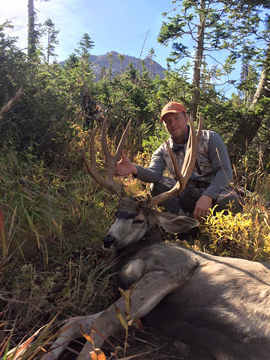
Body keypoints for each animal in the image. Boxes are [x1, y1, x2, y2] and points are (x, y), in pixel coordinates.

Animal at [41, 116, 270, 358]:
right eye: (115, 212)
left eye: (139, 220)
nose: (108, 240)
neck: (137, 252)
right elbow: (75, 321)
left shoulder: (173, 267)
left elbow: (101, 322)